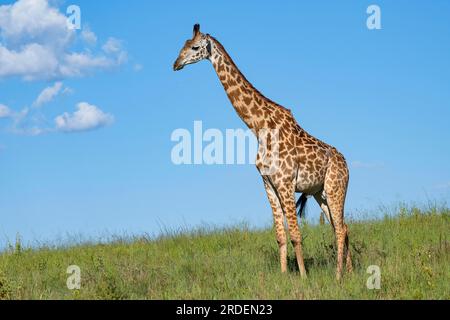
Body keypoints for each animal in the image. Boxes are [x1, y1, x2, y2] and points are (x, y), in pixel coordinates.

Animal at [174, 25, 354, 280]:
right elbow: (280, 236)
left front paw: (303, 277)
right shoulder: (268, 183)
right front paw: (283, 276)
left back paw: (338, 276)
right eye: (183, 45)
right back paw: (349, 272)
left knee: (339, 228)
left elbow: (295, 235)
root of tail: (346, 164)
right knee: (342, 227)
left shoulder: (285, 182)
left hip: (335, 187)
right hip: (321, 193)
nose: (176, 64)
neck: (258, 125)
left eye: (195, 47)